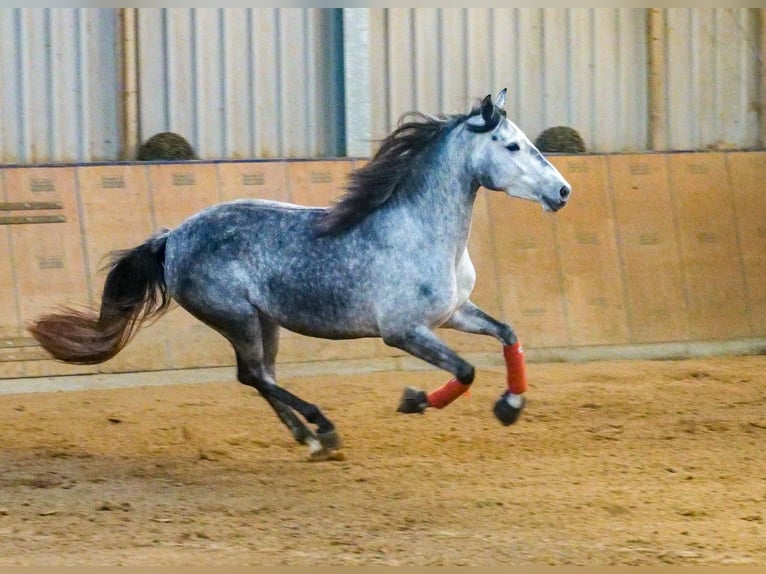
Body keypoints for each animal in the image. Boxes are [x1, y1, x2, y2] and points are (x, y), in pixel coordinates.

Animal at [28, 91, 568, 464]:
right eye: (512, 145)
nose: (563, 191)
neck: (422, 231)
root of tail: (172, 238)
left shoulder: (454, 314)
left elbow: (508, 334)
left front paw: (511, 405)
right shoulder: (404, 331)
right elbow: (466, 370)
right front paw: (413, 401)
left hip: (262, 320)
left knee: (261, 376)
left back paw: (311, 439)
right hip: (237, 316)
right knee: (253, 374)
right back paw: (322, 428)